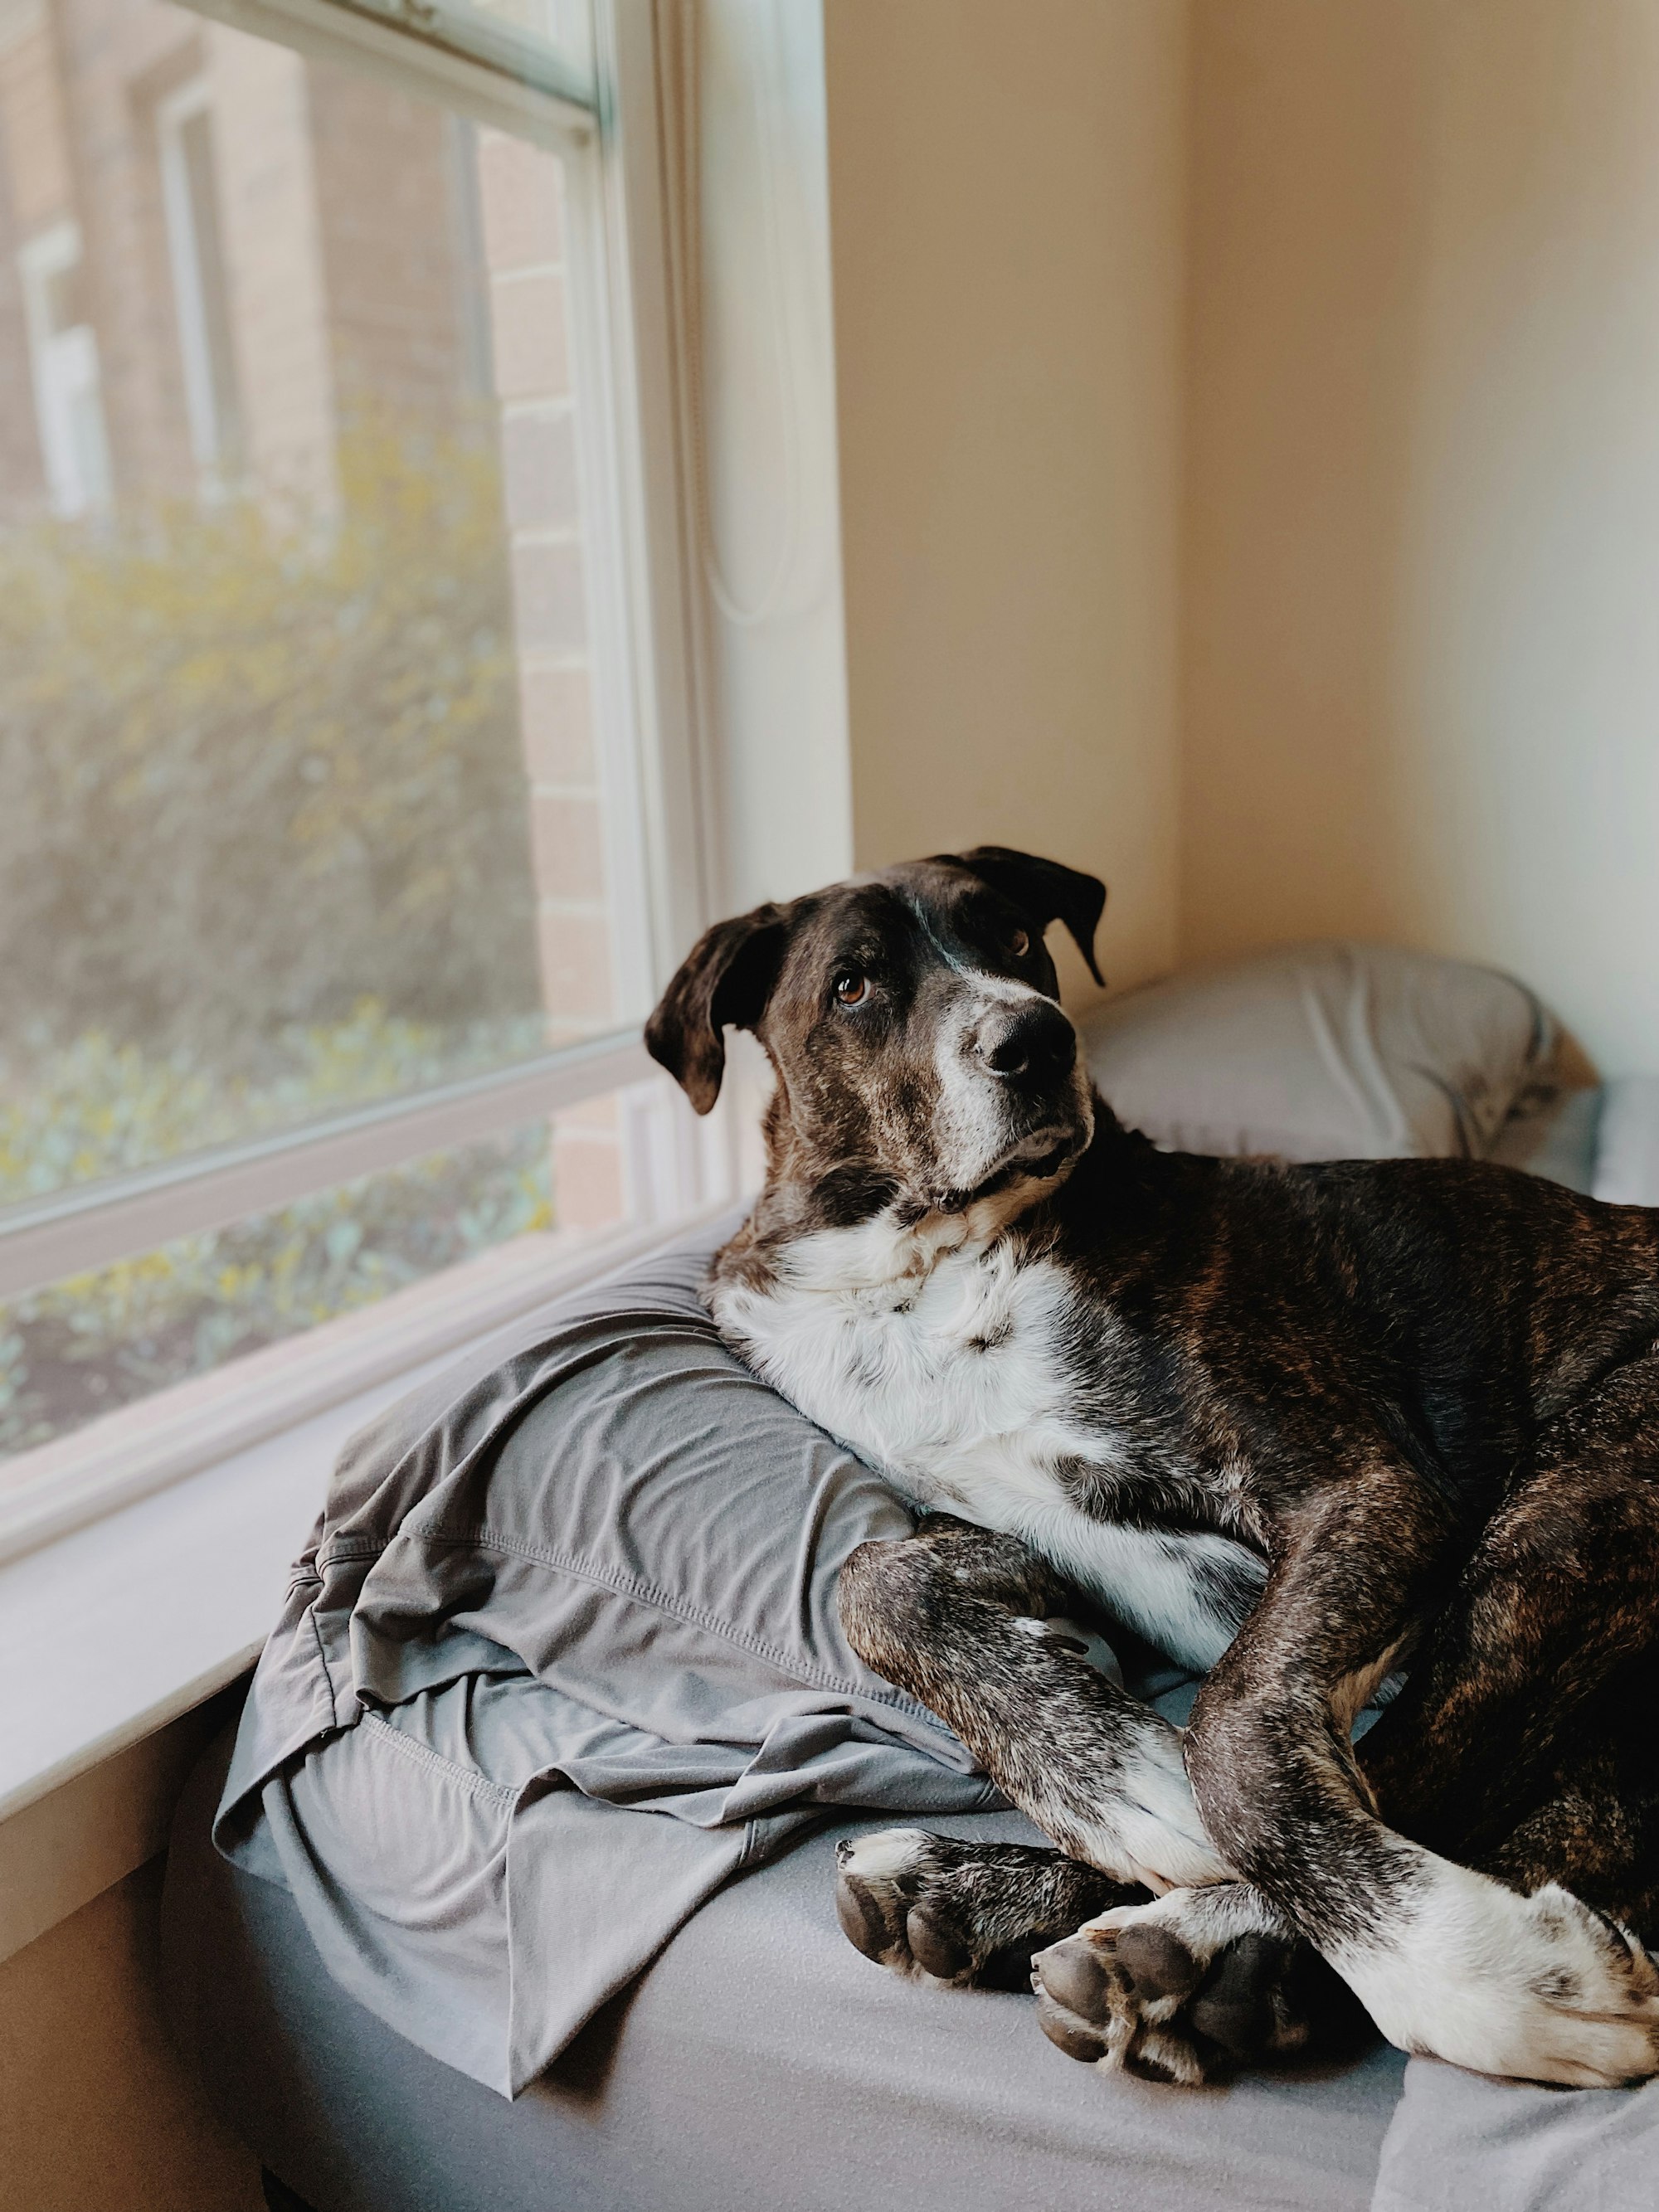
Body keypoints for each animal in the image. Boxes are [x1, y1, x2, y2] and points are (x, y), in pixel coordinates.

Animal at [650, 844, 1659, 2088]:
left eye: (1016, 939)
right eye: (853, 985)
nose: (1035, 1040)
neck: (925, 1262)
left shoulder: (1366, 1491)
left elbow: (1235, 1727)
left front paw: (1468, 1970)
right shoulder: (1021, 1531)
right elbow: (873, 1579)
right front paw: (1096, 1755)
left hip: (1580, 1494)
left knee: (1436, 1770)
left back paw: (1220, 1949)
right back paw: (982, 1897)